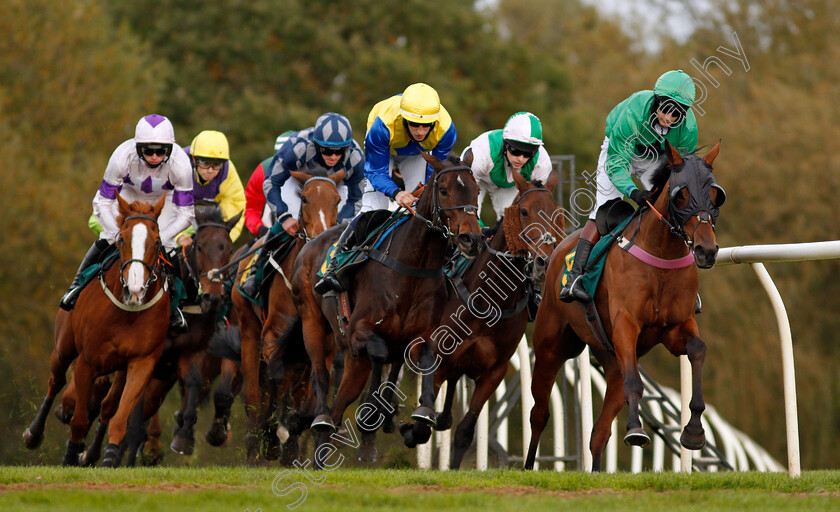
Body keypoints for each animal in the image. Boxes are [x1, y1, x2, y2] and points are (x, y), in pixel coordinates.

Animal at [22, 194, 169, 466]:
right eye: (121, 239)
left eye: (156, 242)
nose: (135, 290)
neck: (126, 312)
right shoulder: (87, 362)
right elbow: (78, 420)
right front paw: (69, 457)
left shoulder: (141, 363)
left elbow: (119, 417)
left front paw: (109, 458)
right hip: (64, 347)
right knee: (56, 381)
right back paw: (33, 434)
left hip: (118, 369)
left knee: (107, 407)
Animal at [233, 169, 344, 464]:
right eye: (304, 199)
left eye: (337, 200)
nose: (320, 238)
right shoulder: (273, 335)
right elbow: (274, 381)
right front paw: (271, 437)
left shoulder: (322, 346)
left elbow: (309, 393)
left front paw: (293, 432)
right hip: (249, 332)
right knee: (254, 396)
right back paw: (256, 444)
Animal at [292, 153, 482, 468]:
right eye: (444, 190)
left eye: (476, 190)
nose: (472, 239)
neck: (413, 264)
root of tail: (310, 244)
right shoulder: (360, 332)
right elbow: (380, 357)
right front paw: (372, 418)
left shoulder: (421, 336)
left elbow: (423, 363)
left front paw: (418, 419)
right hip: (313, 323)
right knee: (320, 375)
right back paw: (321, 420)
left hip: (353, 362)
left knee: (340, 402)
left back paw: (323, 449)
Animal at [400, 165, 564, 468]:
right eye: (524, 211)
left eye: (556, 213)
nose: (543, 262)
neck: (488, 298)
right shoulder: (435, 359)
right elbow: (421, 424)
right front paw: (408, 428)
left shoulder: (494, 372)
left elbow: (464, 431)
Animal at [524, 141, 720, 472]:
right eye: (681, 194)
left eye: (716, 194)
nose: (707, 250)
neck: (661, 255)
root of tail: (556, 250)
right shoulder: (626, 325)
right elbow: (635, 384)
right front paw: (636, 431)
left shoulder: (676, 327)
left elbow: (698, 349)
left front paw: (694, 431)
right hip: (551, 347)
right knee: (539, 414)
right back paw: (527, 467)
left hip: (611, 358)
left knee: (599, 433)